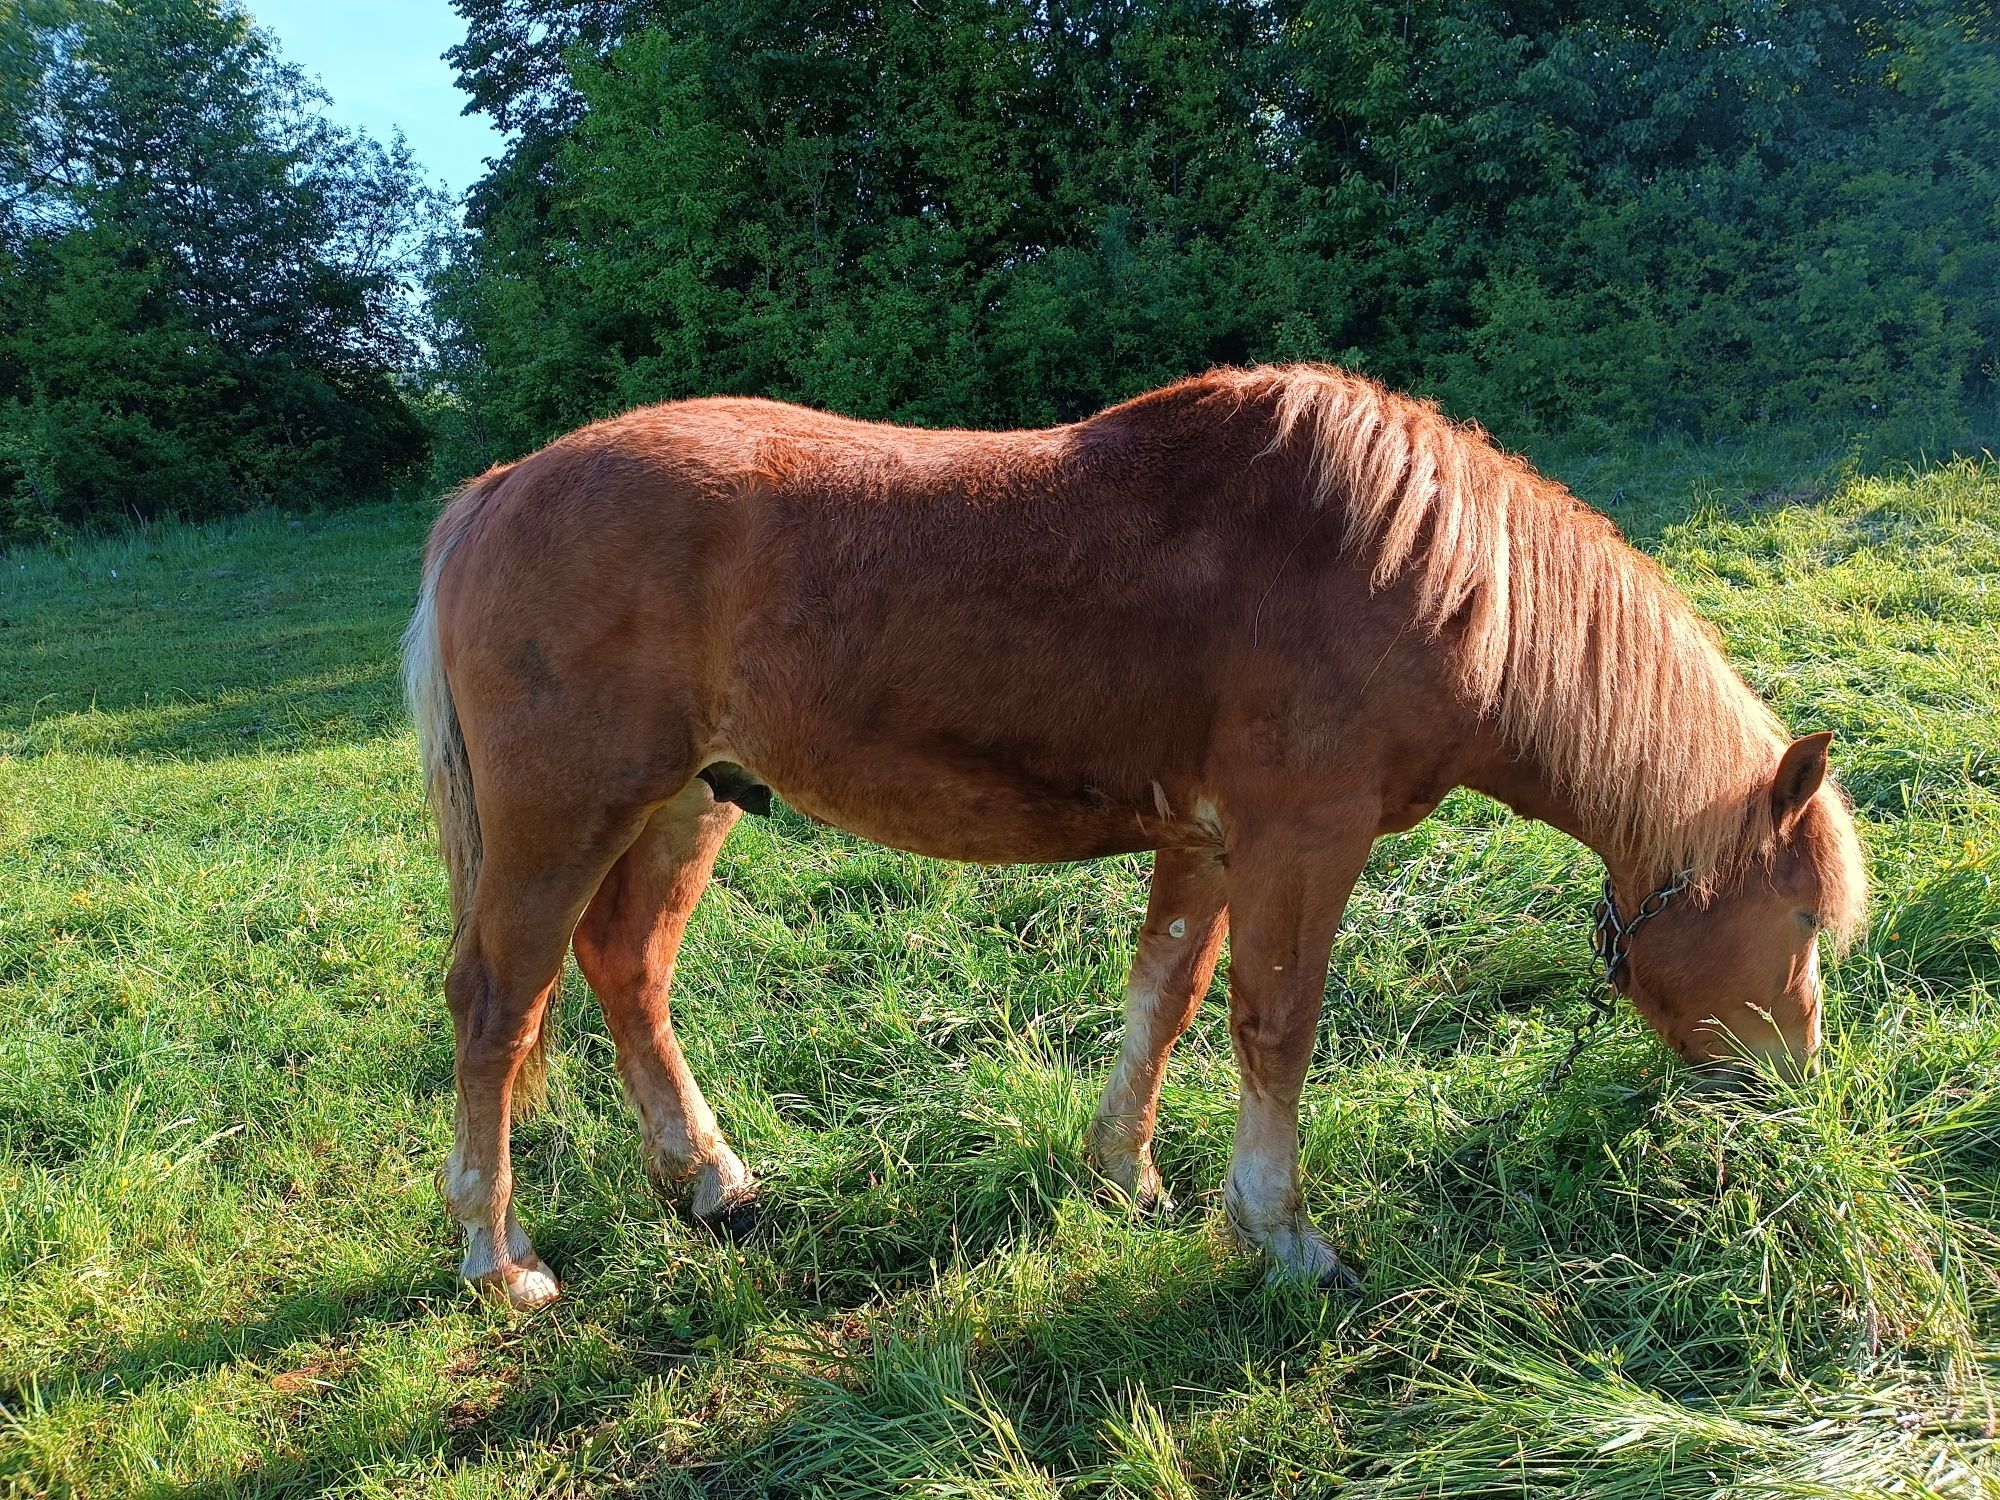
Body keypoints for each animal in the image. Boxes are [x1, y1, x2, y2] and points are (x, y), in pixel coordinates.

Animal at [402, 362, 1856, 1304]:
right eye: (1798, 918)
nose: (1797, 1089)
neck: (1429, 571)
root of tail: (499, 489)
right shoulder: (1300, 839)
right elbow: (1275, 1025)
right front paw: (1280, 1234)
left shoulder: (1208, 845)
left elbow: (1165, 997)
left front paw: (1127, 1179)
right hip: (560, 820)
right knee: (498, 1008)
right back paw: (499, 1256)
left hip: (685, 802)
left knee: (627, 972)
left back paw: (709, 1180)